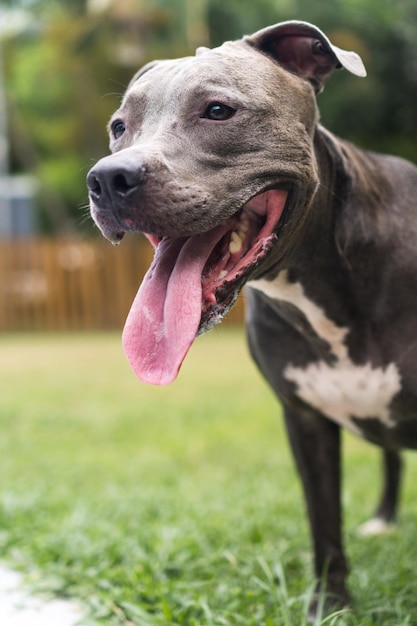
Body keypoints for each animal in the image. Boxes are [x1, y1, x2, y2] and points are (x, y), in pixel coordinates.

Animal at [86, 20, 416, 616]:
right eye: (119, 127)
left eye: (218, 110)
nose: (106, 178)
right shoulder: (304, 421)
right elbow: (324, 521)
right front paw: (329, 606)